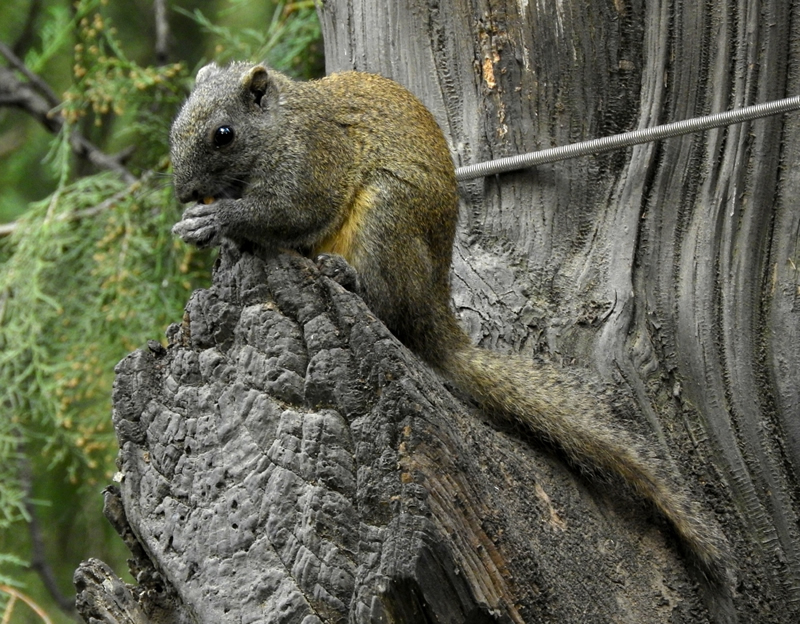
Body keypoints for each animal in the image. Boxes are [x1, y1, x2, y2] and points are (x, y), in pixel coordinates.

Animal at [170, 61, 732, 588]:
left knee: (388, 306)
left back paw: (347, 278)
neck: (279, 124)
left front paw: (217, 221)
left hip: (387, 220)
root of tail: (433, 308)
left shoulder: (313, 160)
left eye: (224, 134)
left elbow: (291, 211)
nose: (184, 192)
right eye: (178, 124)